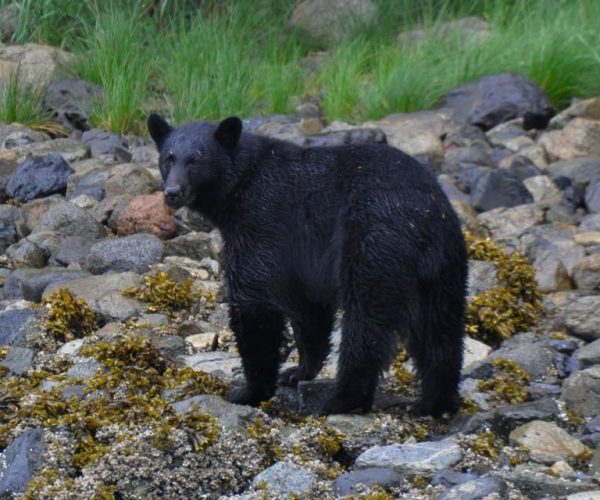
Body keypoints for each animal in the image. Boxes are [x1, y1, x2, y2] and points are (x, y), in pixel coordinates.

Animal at [148, 114, 466, 418]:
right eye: (169, 158)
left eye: (196, 160)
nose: (172, 192)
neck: (241, 183)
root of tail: (424, 215)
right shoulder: (301, 260)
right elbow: (308, 308)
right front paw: (298, 371)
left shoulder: (260, 222)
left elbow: (254, 301)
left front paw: (250, 391)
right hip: (444, 266)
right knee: (440, 330)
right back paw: (435, 403)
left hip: (375, 244)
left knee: (366, 322)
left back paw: (343, 399)